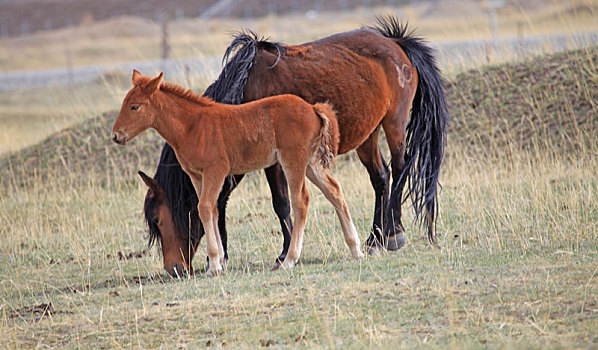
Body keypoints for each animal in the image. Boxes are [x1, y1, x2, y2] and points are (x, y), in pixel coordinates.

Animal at [112, 71, 366, 276]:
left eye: (134, 106)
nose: (116, 135)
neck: (193, 126)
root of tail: (313, 109)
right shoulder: (197, 175)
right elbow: (212, 210)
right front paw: (219, 261)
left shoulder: (216, 170)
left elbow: (205, 208)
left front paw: (214, 265)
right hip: (312, 163)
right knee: (334, 191)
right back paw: (356, 249)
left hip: (293, 161)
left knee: (301, 200)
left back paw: (289, 260)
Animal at [142, 16, 450, 276]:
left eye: (158, 220)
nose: (174, 269)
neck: (244, 94)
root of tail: (396, 43)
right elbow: (226, 201)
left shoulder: (275, 162)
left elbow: (281, 203)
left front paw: (285, 253)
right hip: (368, 135)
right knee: (381, 177)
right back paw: (375, 239)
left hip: (394, 122)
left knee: (399, 169)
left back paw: (394, 233)